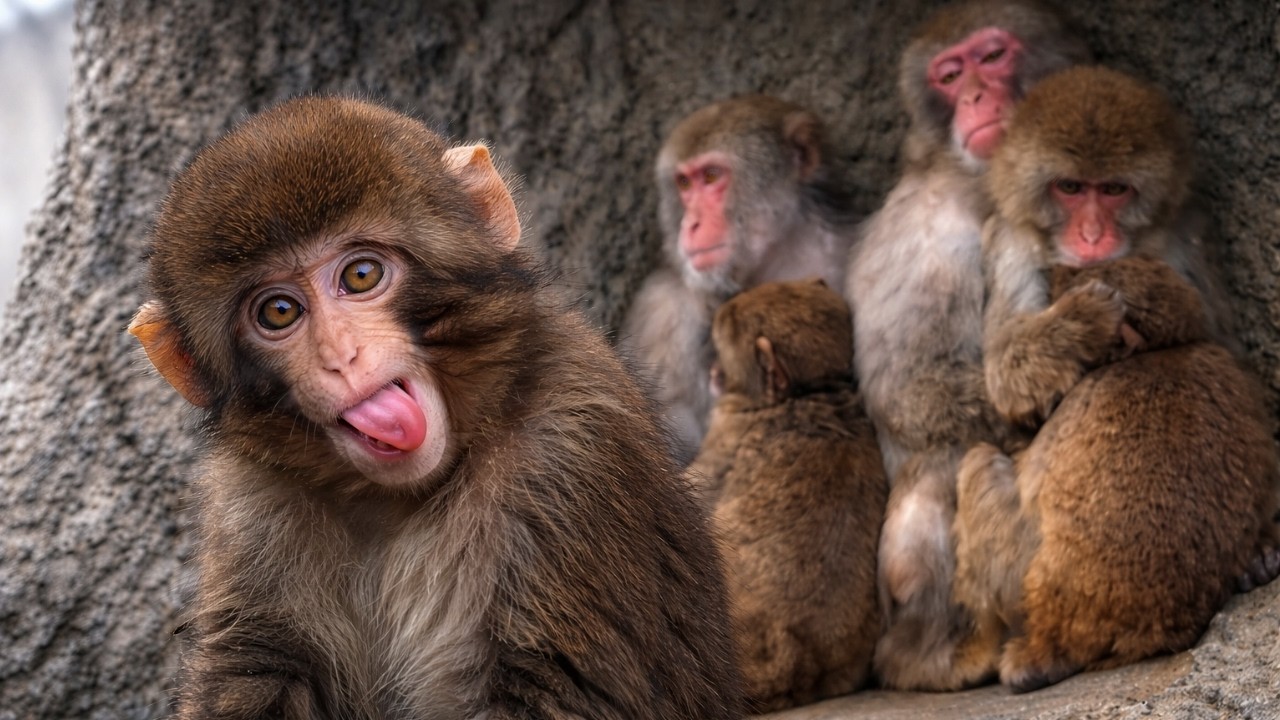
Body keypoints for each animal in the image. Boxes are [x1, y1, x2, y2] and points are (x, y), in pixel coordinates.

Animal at [129, 96, 743, 720]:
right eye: (278, 312)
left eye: (361, 274)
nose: (340, 356)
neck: (401, 496)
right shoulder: (250, 508)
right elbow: (256, 671)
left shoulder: (569, 459)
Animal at [843, 0, 1090, 690]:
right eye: (950, 75)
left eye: (992, 55)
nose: (976, 95)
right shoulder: (930, 229)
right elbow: (918, 390)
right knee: (940, 465)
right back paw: (940, 658)